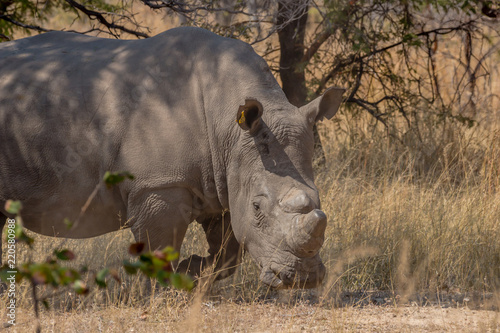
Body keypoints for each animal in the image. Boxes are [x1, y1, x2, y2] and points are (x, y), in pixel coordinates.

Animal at [0, 27, 344, 288]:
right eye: (258, 207)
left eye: (320, 200)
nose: (301, 279)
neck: (229, 129)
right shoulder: (158, 184)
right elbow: (160, 247)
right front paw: (164, 289)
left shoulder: (224, 176)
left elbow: (229, 250)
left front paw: (194, 270)